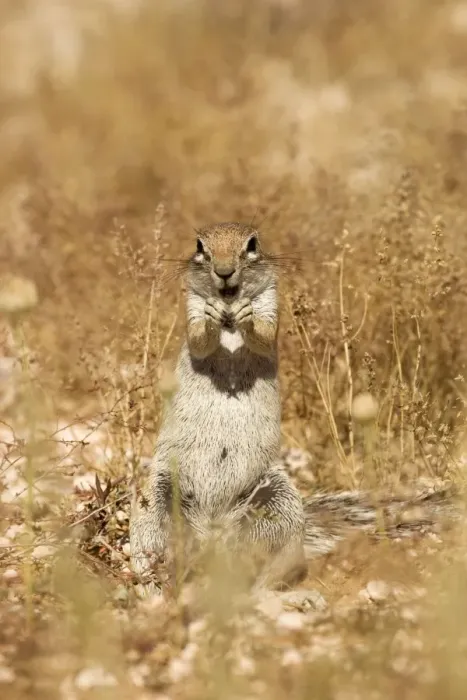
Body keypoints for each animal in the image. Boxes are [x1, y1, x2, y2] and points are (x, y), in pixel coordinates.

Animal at [130, 222, 456, 595]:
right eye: (200, 246)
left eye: (252, 244)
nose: (224, 272)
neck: (229, 313)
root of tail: (214, 537)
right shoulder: (192, 307)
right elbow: (199, 339)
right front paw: (212, 319)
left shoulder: (272, 304)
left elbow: (263, 333)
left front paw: (248, 318)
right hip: (155, 500)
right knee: (154, 550)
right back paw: (156, 588)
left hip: (279, 502)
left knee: (266, 565)